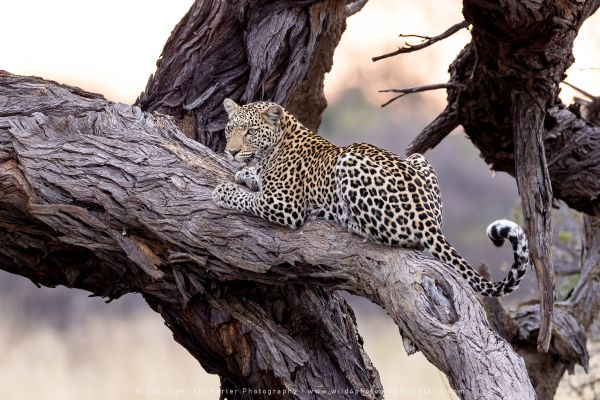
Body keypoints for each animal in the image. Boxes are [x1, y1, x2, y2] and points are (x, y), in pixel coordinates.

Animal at [212, 98, 528, 296]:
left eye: (250, 131)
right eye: (230, 129)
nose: (231, 151)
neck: (276, 145)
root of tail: (426, 218)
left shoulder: (284, 205)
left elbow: (249, 199)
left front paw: (224, 190)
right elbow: (254, 180)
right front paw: (246, 174)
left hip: (350, 159)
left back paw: (349, 221)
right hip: (417, 159)